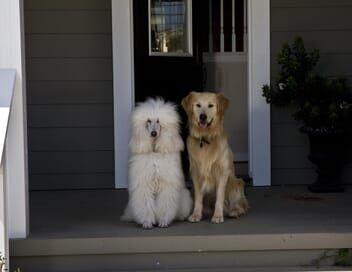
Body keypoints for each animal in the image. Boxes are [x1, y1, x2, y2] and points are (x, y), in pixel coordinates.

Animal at [121, 97, 192, 227]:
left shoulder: (166, 185)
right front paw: (147, 222)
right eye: (148, 121)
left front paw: (163, 221)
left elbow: (165, 203)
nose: (153, 133)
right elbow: (145, 203)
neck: (154, 151)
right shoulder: (144, 184)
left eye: (159, 121)